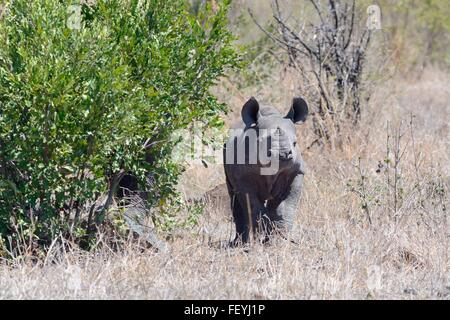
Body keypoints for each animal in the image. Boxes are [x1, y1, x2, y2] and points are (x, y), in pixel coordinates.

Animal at [223, 96, 308, 244]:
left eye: (295, 143)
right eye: (261, 143)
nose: (283, 154)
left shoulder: (295, 172)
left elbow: (284, 208)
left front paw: (279, 240)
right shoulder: (243, 177)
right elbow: (253, 206)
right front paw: (258, 239)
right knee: (234, 198)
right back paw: (239, 242)